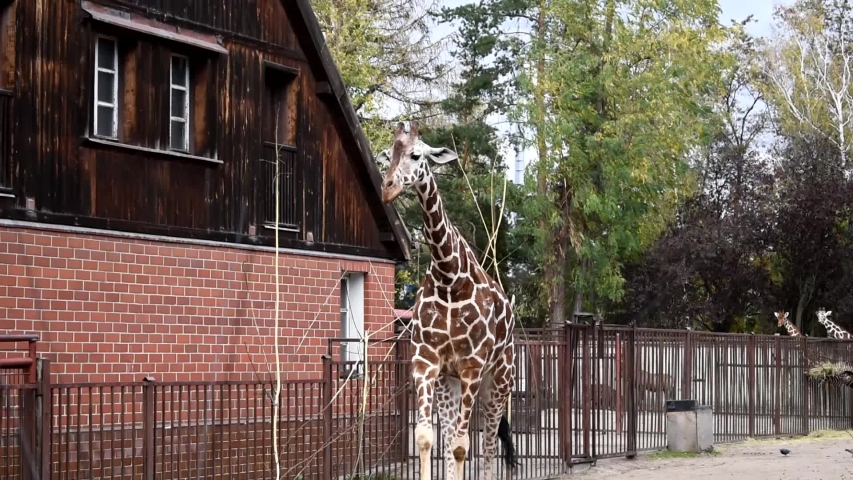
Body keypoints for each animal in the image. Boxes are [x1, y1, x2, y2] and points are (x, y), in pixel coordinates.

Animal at [377, 121, 518, 480]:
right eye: (389, 154)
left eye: (416, 155)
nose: (387, 189)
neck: (449, 278)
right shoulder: (426, 362)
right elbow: (427, 437)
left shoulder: (472, 366)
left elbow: (462, 445)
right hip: (449, 382)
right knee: (457, 435)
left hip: (499, 379)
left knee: (489, 443)